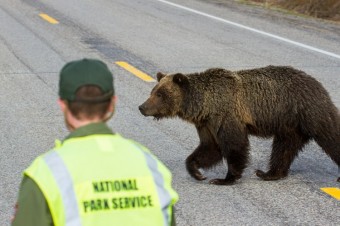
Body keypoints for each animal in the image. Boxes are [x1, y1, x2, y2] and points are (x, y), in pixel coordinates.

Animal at [138, 66, 340, 185]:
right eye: (153, 91)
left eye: (160, 94)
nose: (142, 107)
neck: (204, 104)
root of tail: (318, 84)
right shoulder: (207, 123)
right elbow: (210, 147)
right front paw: (197, 171)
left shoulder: (226, 115)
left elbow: (234, 145)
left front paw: (225, 178)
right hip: (289, 125)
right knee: (284, 148)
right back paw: (269, 173)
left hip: (309, 111)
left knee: (331, 136)